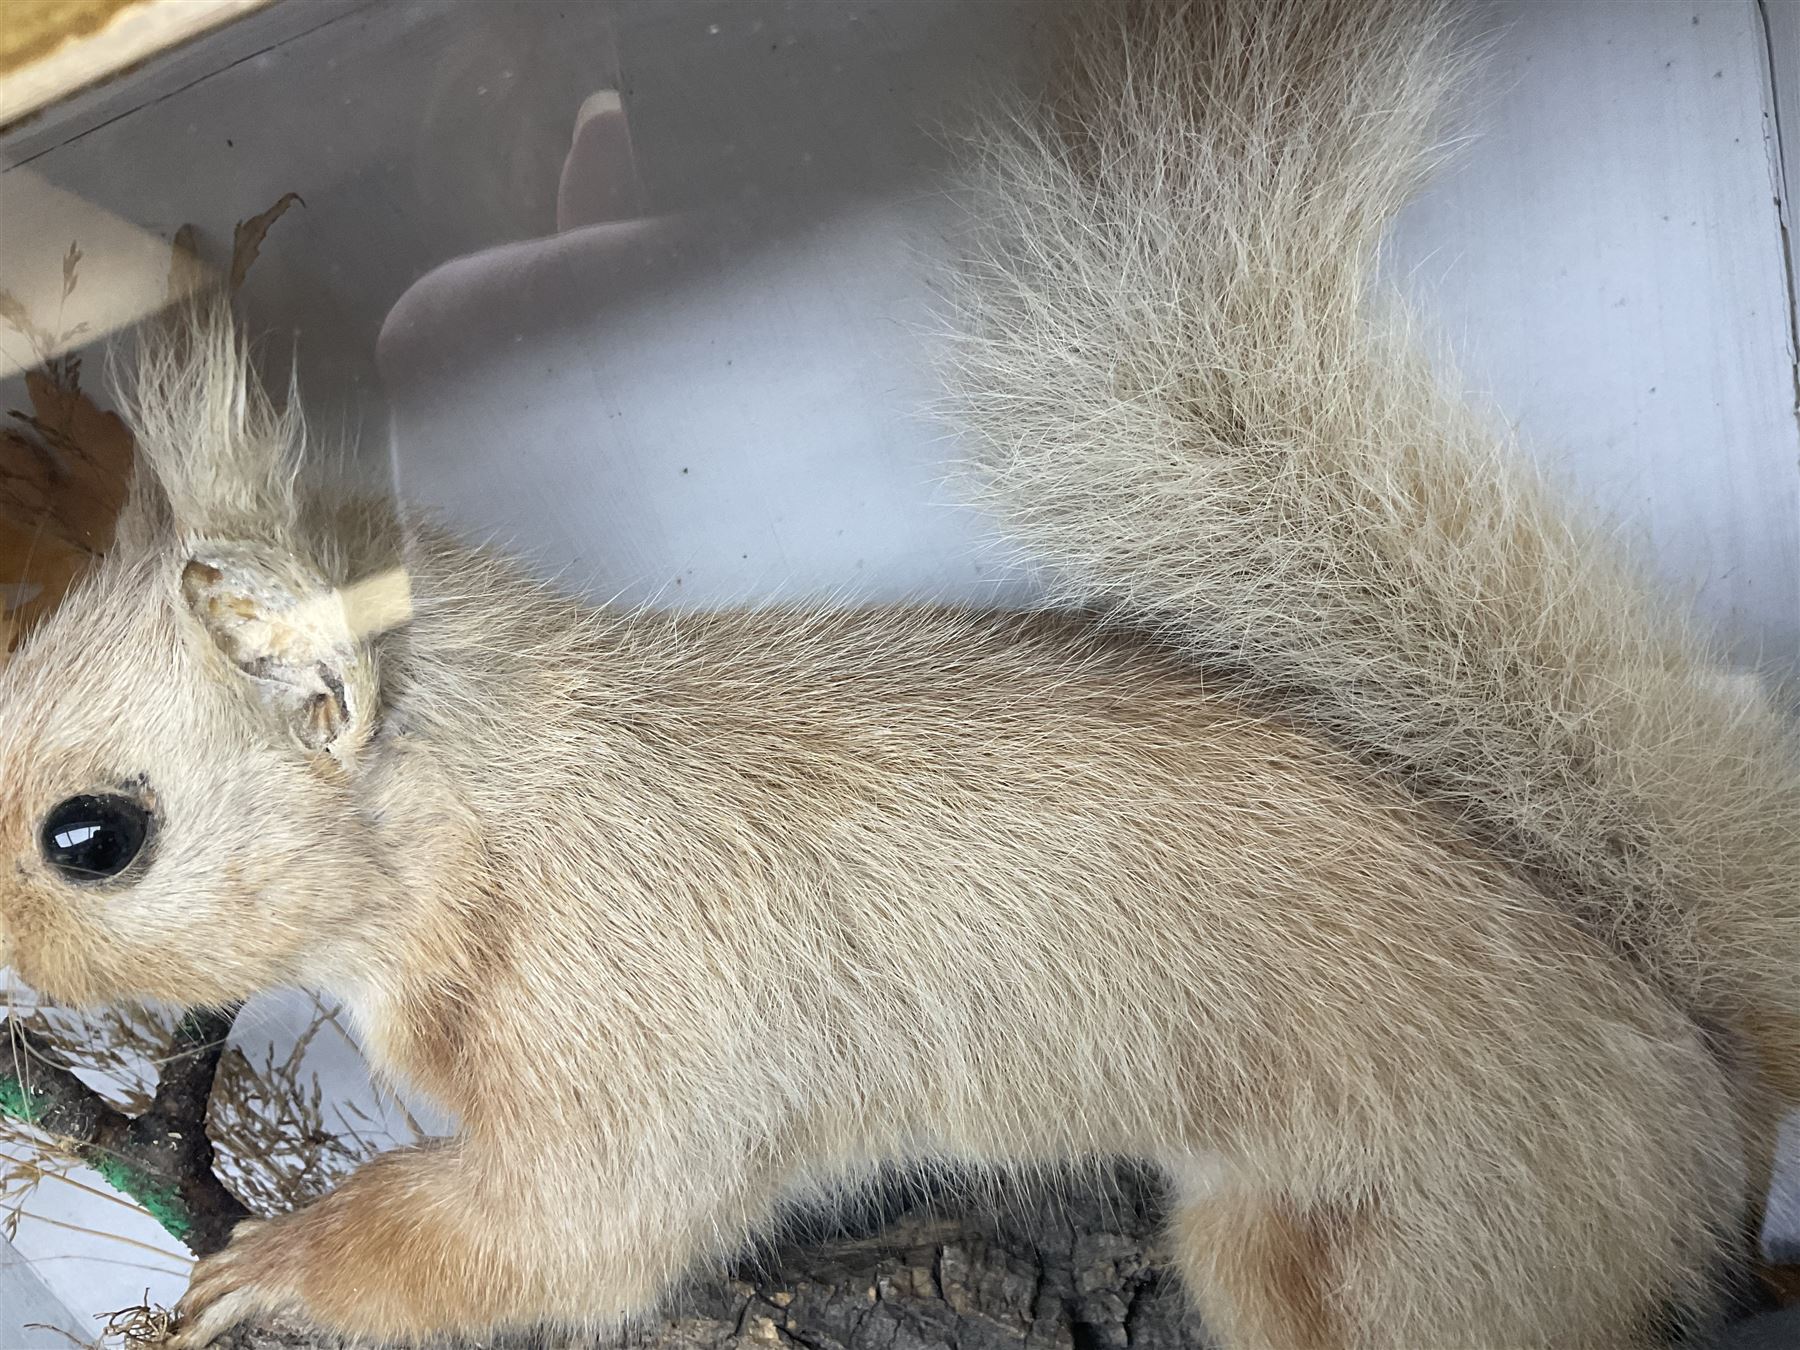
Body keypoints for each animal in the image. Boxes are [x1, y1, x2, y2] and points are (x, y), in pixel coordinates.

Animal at [0, 1, 1781, 1348]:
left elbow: (561, 1234)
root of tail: (1705, 1106)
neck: (494, 818)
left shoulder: (638, 1026)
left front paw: (272, 1265)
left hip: (1388, 1250)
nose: (5, 962)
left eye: (93, 833)